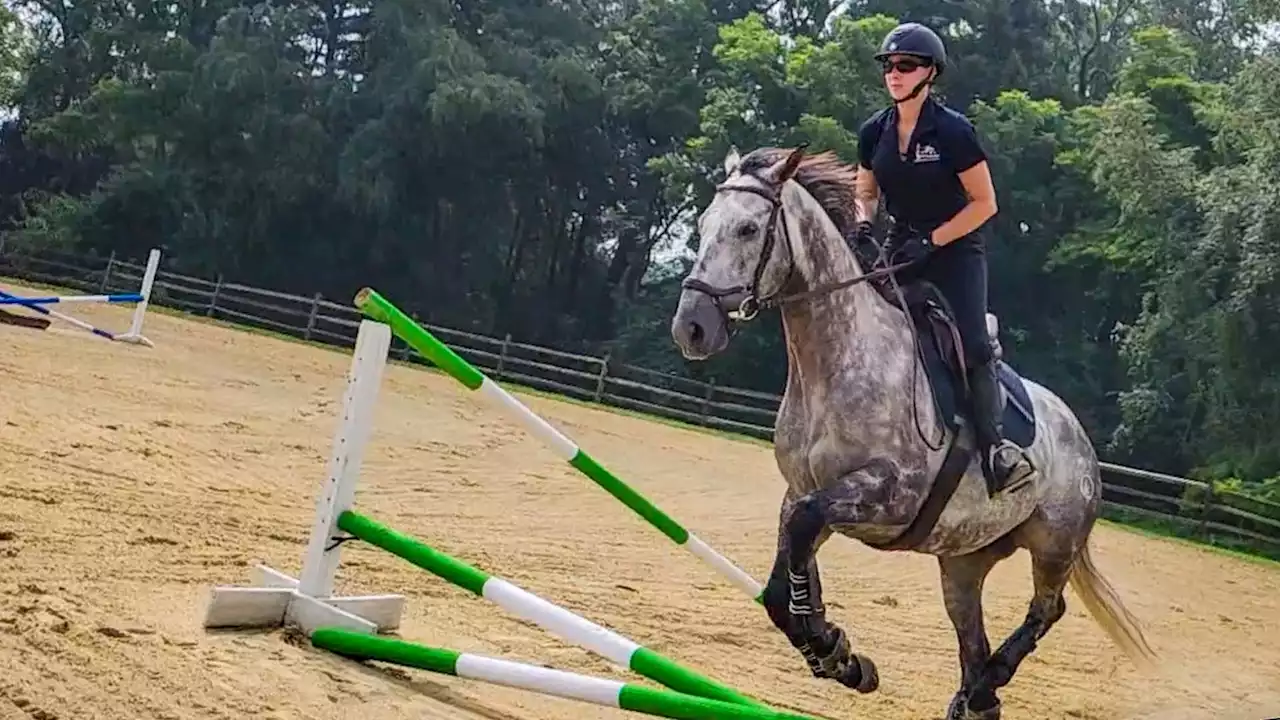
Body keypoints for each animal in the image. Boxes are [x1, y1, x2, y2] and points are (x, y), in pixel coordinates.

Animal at [665, 142, 1157, 712]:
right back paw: (976, 697)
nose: (691, 328)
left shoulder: (888, 493)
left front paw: (828, 645)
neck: (837, 359)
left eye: (748, 229)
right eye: (703, 223)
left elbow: (803, 534)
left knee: (1046, 609)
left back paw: (989, 681)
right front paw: (840, 656)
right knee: (973, 640)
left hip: (1054, 542)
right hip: (963, 562)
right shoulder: (806, 491)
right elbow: (784, 579)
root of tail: (1080, 437)